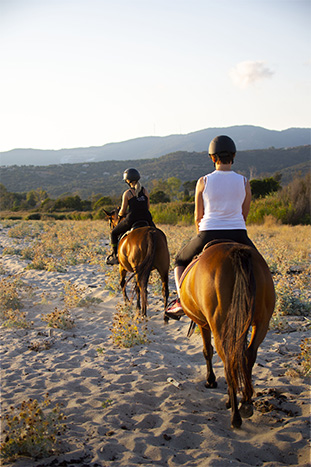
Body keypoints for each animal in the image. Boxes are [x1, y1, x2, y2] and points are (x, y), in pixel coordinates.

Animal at [179, 243, 276, 430]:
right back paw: (245, 402)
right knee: (247, 355)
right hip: (262, 322)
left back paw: (235, 415)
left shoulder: (203, 324)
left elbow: (207, 351)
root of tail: (236, 252)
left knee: (229, 361)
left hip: (220, 326)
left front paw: (211, 381)